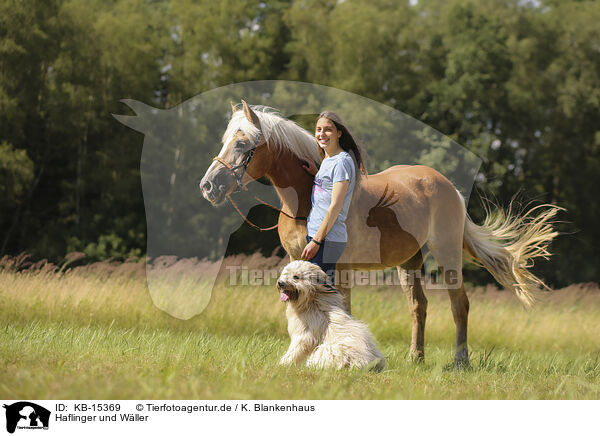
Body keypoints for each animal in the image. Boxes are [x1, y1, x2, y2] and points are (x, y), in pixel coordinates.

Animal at [199, 99, 560, 364]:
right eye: (226, 140)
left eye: (242, 143)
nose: (208, 186)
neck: (304, 199)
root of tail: (448, 187)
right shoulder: (295, 262)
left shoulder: (338, 268)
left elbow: (341, 311)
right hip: (409, 262)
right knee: (419, 306)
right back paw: (416, 358)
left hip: (446, 254)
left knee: (459, 304)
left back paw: (460, 361)